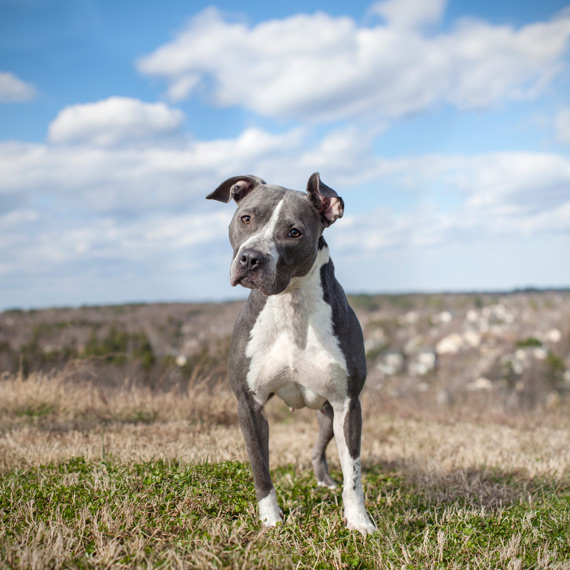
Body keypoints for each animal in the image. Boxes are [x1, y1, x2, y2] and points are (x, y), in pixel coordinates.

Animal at [206, 170, 374, 532]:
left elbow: (353, 473)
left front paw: (359, 521)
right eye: (246, 218)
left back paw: (324, 480)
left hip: (328, 414)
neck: (290, 303)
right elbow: (260, 468)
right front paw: (271, 519)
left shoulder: (347, 404)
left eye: (294, 232)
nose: (251, 258)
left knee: (319, 450)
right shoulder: (249, 405)